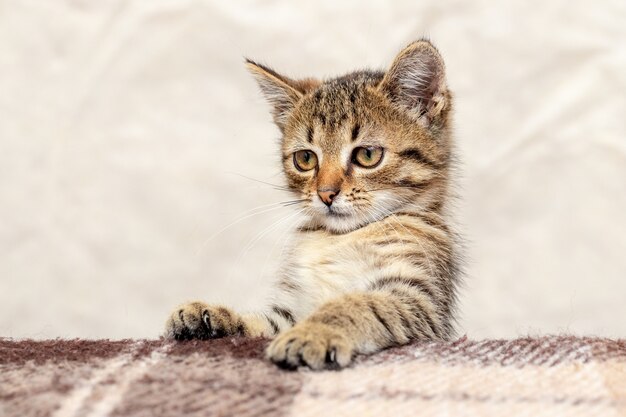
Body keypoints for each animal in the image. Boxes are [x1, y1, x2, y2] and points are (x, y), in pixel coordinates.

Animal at [165, 39, 458, 368]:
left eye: (367, 155)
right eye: (305, 158)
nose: (326, 194)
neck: (338, 238)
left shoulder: (420, 300)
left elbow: (359, 303)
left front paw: (313, 332)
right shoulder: (292, 308)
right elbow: (265, 322)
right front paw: (214, 316)